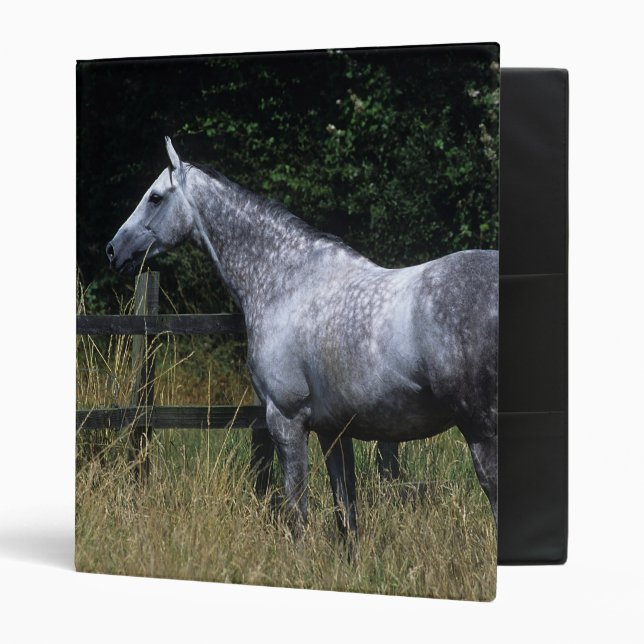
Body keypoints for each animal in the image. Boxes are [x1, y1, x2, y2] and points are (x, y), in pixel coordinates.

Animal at [106, 137, 498, 539]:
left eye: (155, 197)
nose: (113, 249)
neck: (287, 283)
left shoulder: (286, 419)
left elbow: (298, 514)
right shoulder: (333, 432)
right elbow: (346, 516)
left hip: (481, 432)